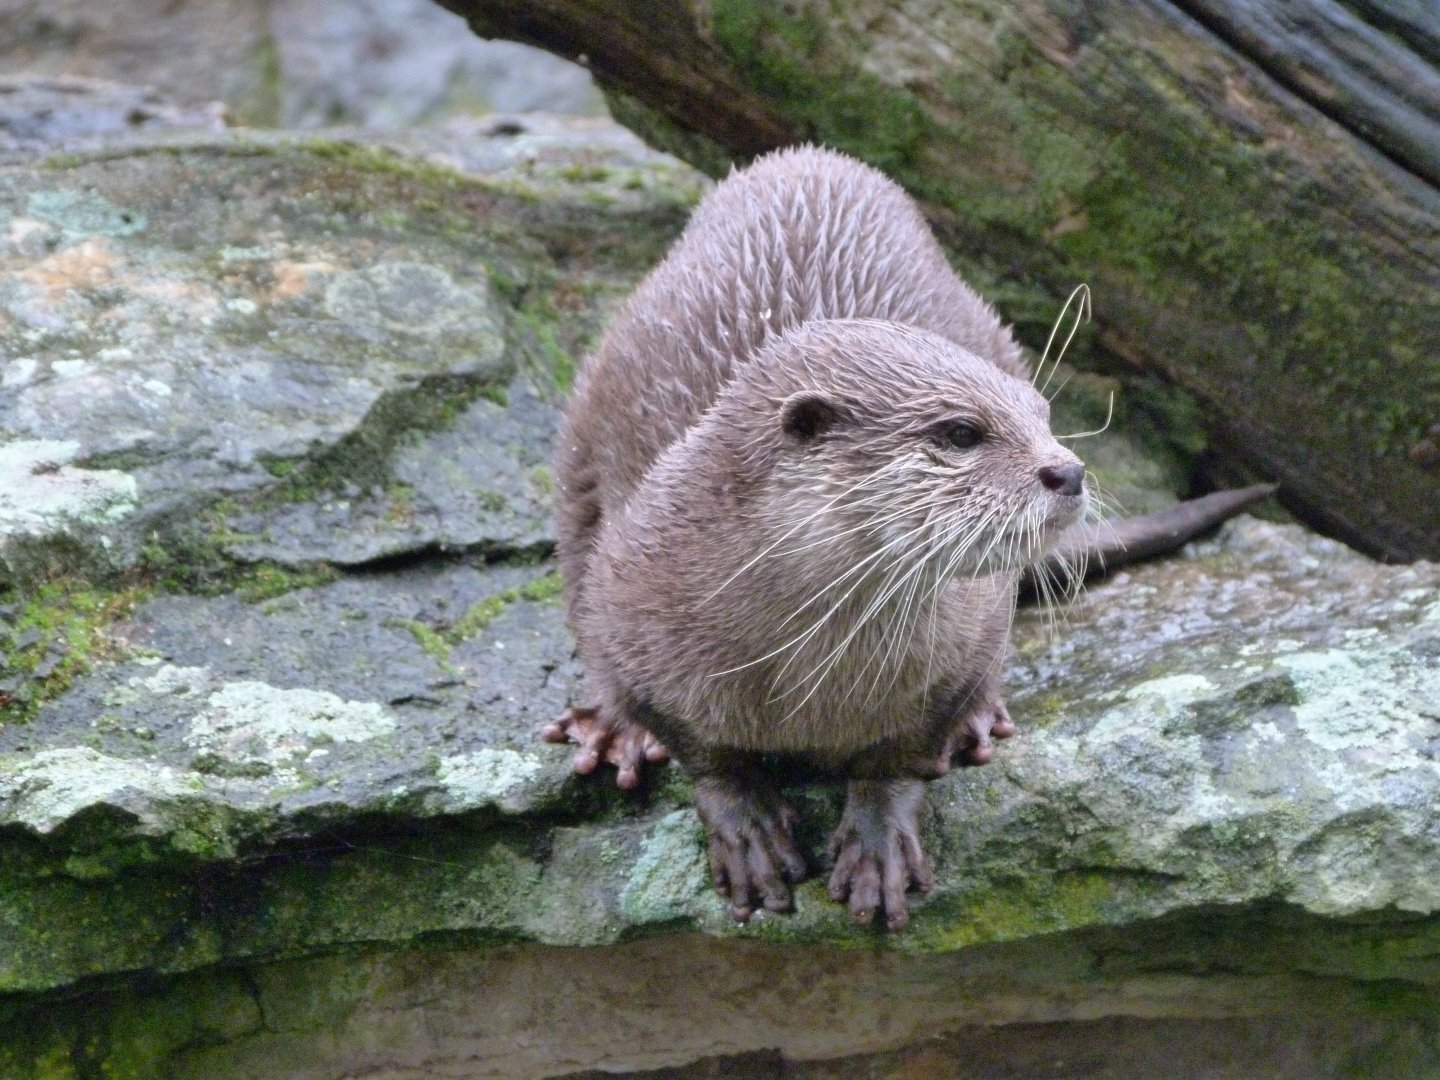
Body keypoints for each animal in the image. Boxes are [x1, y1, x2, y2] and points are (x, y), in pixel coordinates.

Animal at [547, 146, 1267, 929]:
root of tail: (810, 158)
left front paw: (877, 838)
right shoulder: (633, 608)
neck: (806, 677)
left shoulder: (960, 647)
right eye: (960, 433)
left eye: (1043, 415)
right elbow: (700, 750)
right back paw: (612, 730)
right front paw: (745, 826)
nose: (1068, 469)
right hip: (584, 441)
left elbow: (905, 752)